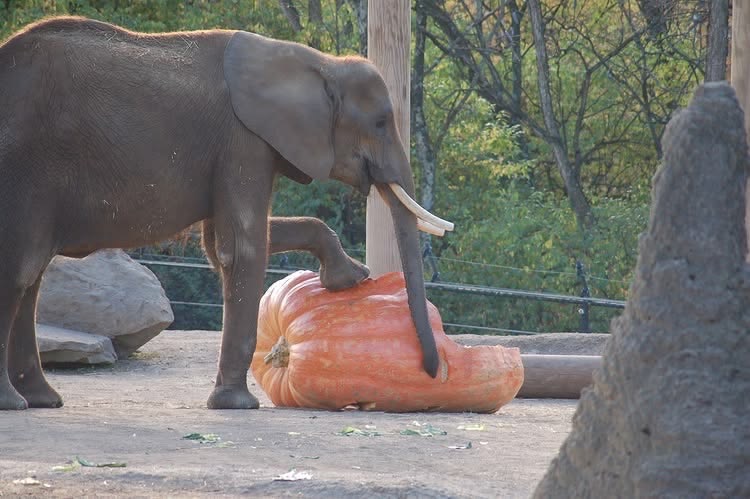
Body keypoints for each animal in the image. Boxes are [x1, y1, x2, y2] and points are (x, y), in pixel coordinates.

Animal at [0, 17, 453, 410]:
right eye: (380, 122)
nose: (431, 371)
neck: (317, 62)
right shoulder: (243, 140)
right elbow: (242, 246)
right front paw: (236, 405)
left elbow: (219, 240)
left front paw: (350, 280)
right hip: (26, 167)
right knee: (19, 271)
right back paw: (15, 403)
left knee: (31, 275)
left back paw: (42, 400)